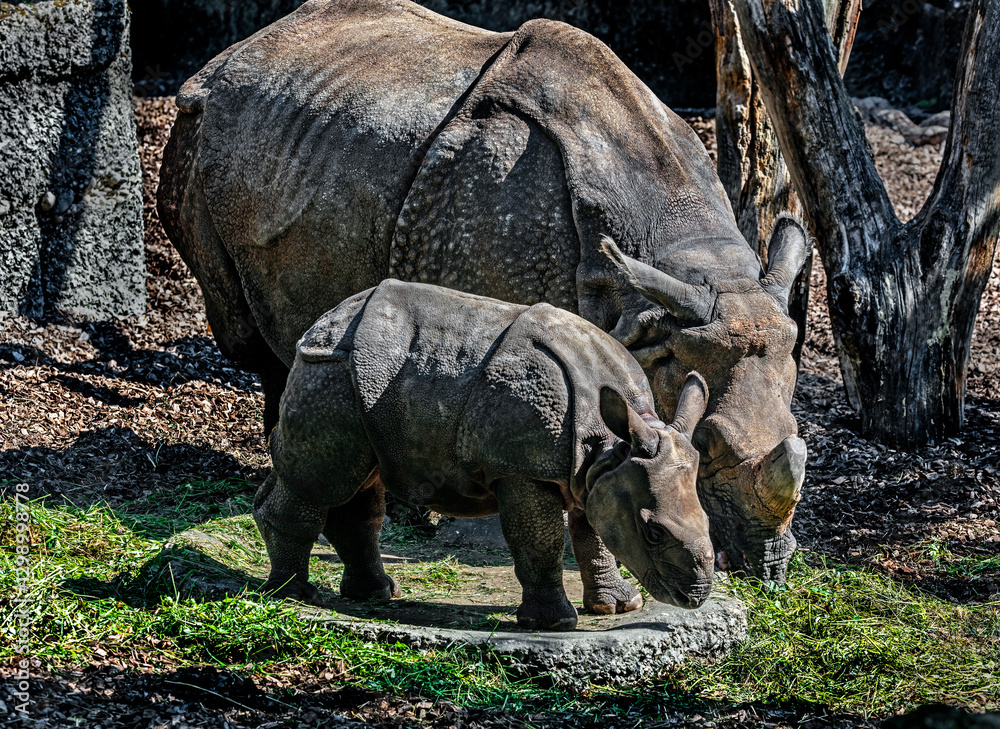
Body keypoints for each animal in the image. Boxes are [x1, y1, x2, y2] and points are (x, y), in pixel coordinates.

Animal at [158, 0, 808, 582]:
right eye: (709, 445)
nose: (767, 569)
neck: (654, 288)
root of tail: (233, 53)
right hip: (194, 130)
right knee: (249, 337)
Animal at [254, 280, 715, 630]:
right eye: (653, 533)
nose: (695, 596)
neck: (607, 443)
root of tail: (320, 323)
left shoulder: (596, 472)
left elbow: (596, 535)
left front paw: (619, 606)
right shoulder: (521, 468)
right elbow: (543, 540)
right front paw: (554, 623)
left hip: (360, 382)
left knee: (360, 483)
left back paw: (377, 594)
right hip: (331, 371)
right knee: (322, 481)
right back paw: (293, 595)